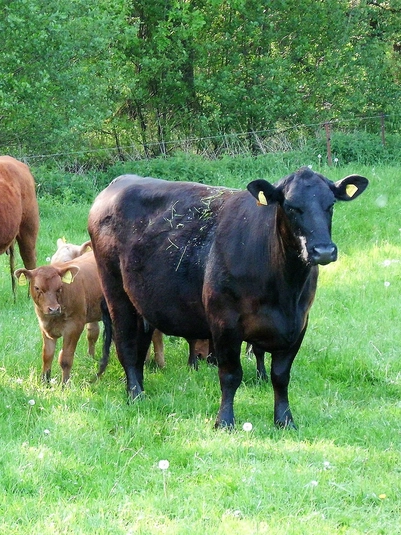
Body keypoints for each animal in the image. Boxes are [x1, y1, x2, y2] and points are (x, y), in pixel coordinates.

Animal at [15, 252, 105, 386]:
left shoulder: (74, 327)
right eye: (37, 287)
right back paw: (90, 358)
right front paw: (45, 383)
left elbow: (65, 359)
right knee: (93, 333)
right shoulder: (44, 327)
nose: (54, 309)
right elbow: (47, 356)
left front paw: (64, 385)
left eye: (59, 287)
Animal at [88, 170, 368, 430]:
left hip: (143, 302)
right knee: (126, 346)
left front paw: (285, 420)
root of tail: (120, 181)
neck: (284, 291)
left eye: (330, 204)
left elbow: (280, 376)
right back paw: (136, 396)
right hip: (115, 291)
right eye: (291, 206)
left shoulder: (298, 324)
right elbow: (231, 375)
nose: (323, 250)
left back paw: (138, 390)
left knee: (140, 347)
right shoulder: (224, 322)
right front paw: (224, 421)